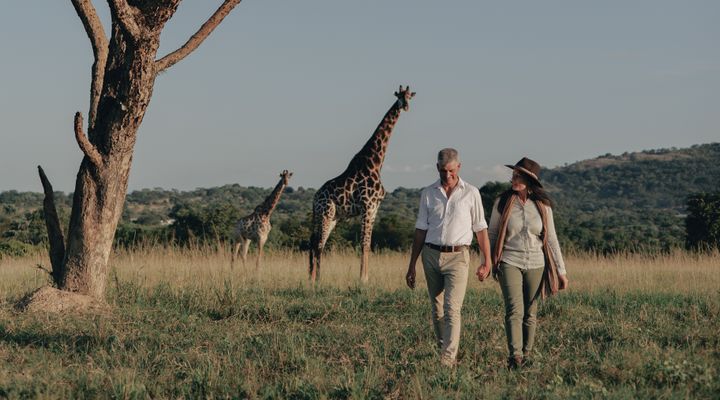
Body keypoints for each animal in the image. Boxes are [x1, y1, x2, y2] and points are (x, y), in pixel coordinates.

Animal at [309, 85, 415, 284]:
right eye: (399, 96)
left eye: (409, 97)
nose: (405, 106)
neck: (376, 162)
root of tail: (314, 199)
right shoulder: (367, 205)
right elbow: (364, 244)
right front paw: (363, 280)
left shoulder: (374, 209)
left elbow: (368, 244)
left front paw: (365, 278)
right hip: (326, 213)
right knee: (318, 244)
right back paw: (317, 279)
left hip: (330, 217)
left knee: (315, 243)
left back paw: (311, 279)